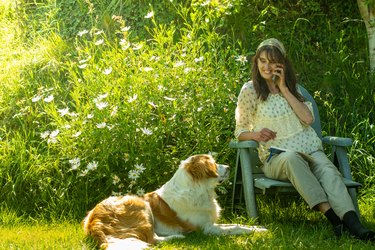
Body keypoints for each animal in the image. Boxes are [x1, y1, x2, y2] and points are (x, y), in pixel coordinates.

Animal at [83, 154, 268, 248]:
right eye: (215, 164)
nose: (229, 167)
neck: (198, 189)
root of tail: (93, 219)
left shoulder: (211, 223)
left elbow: (236, 225)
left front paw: (259, 228)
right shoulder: (207, 229)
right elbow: (235, 228)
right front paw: (260, 231)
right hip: (140, 205)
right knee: (152, 240)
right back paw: (177, 237)